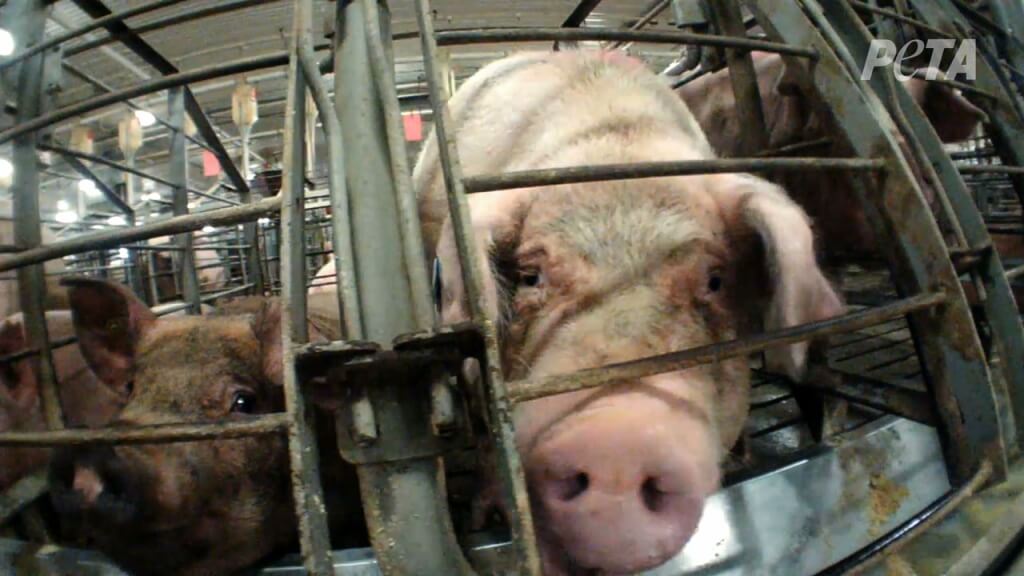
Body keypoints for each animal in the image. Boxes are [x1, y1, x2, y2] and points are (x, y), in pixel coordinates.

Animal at [411, 50, 843, 573]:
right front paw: (488, 517)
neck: (617, 149)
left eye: (715, 280)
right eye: (531, 276)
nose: (617, 441)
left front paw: (743, 458)